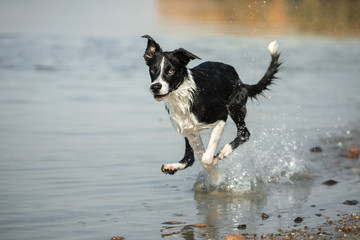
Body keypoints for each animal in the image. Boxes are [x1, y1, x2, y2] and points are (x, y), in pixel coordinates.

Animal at [143, 35, 282, 178]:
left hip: (234, 106)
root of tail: (241, 82)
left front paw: (216, 167)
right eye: (153, 69)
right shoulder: (190, 131)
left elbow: (206, 158)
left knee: (244, 133)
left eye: (170, 70)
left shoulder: (221, 115)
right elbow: (199, 158)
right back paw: (173, 166)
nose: (155, 87)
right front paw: (216, 176)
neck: (182, 96)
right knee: (190, 158)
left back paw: (225, 150)